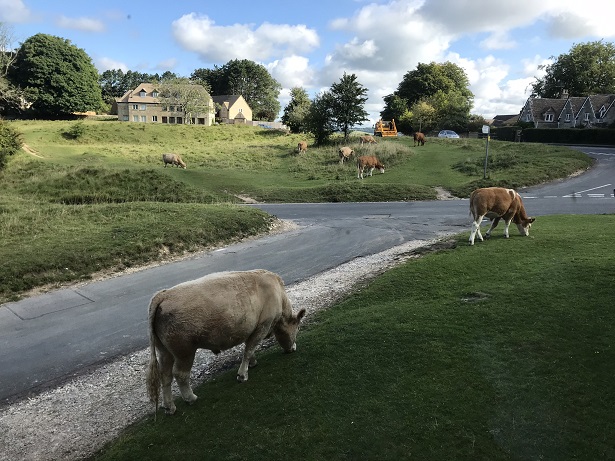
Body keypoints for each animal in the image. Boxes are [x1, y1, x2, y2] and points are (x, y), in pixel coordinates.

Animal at [147, 268, 306, 416]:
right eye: (297, 327)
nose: (293, 348)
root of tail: (163, 294)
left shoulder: (250, 328)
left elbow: (248, 349)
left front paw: (252, 363)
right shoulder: (263, 325)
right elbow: (249, 349)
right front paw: (242, 374)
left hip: (165, 351)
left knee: (165, 375)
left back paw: (169, 407)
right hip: (184, 350)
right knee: (180, 374)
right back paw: (190, 398)